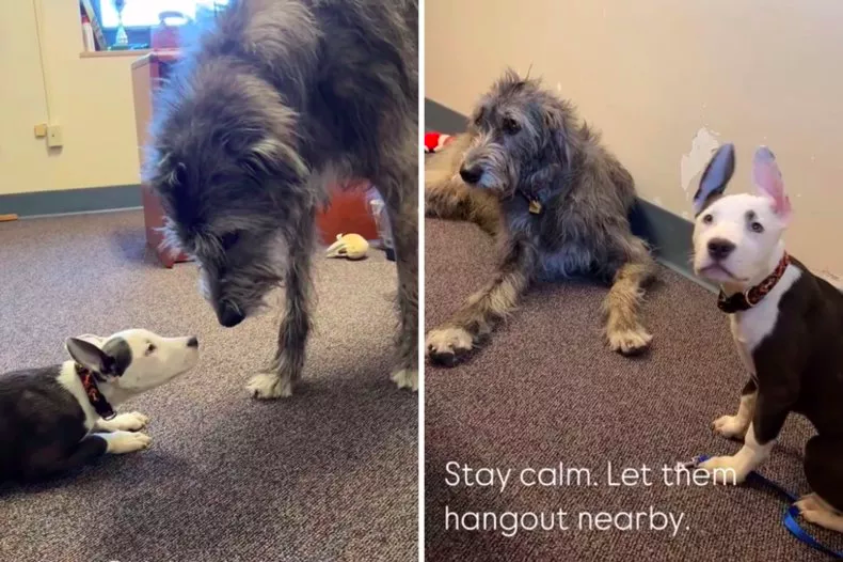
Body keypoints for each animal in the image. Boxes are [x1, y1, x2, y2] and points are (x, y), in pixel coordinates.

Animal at [0, 328, 199, 482]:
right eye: (150, 348)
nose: (194, 340)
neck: (85, 389)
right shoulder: (41, 463)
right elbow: (97, 441)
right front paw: (125, 439)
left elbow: (99, 423)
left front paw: (125, 420)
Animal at [148, 0, 422, 398]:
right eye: (190, 246)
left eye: (231, 236)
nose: (227, 318)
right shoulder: (294, 190)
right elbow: (295, 289)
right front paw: (283, 373)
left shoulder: (401, 180)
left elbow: (410, 282)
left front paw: (412, 363)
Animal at [428, 70, 652, 366]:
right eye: (479, 121)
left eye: (512, 125)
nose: (468, 172)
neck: (546, 193)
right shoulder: (518, 254)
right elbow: (487, 294)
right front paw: (454, 330)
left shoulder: (632, 252)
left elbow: (622, 290)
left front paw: (625, 328)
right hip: (448, 183)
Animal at [692, 142, 843, 532]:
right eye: (708, 218)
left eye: (756, 226)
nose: (719, 246)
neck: (762, 291)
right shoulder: (756, 371)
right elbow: (747, 400)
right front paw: (733, 425)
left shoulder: (779, 389)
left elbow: (758, 439)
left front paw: (732, 470)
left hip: (819, 450)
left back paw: (816, 509)